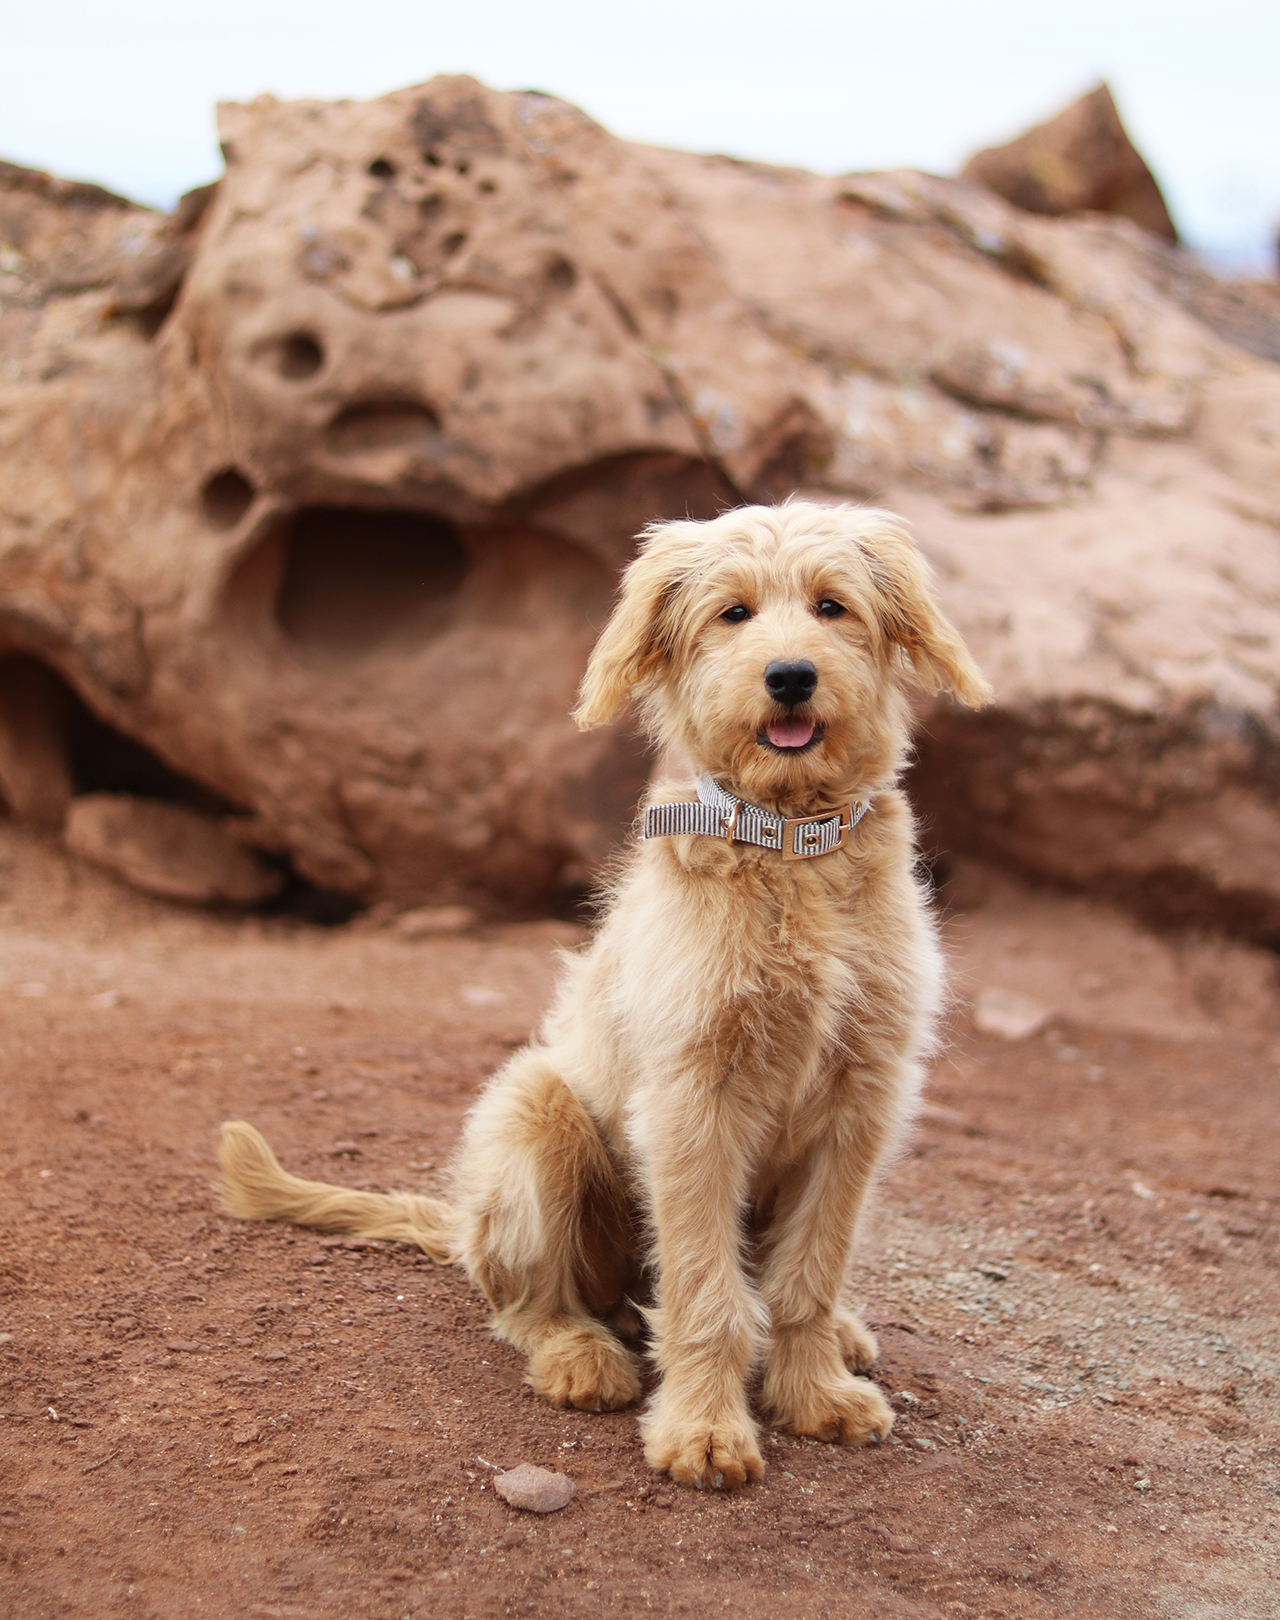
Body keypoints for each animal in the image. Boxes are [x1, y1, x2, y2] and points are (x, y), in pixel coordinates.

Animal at [220, 495, 991, 1490]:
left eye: (832, 607)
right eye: (733, 613)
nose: (789, 677)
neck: (789, 845)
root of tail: (465, 1226)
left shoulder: (864, 1096)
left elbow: (808, 1278)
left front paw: (815, 1391)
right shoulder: (694, 1098)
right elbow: (705, 1292)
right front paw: (704, 1430)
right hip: (537, 1112)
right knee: (531, 1305)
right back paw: (580, 1356)